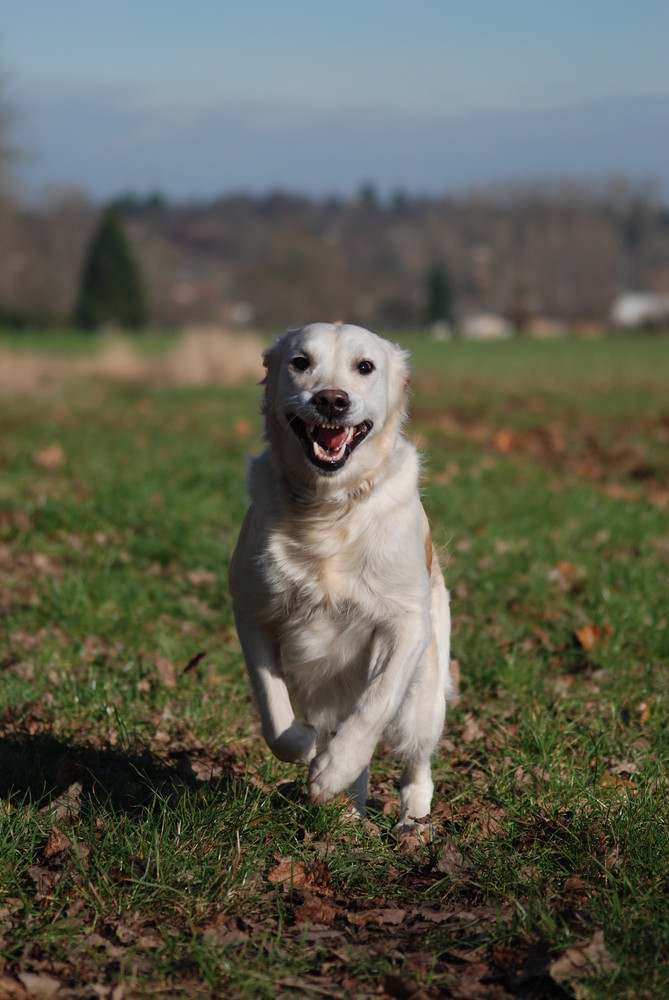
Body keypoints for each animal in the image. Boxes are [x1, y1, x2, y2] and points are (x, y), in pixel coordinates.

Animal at [227, 322, 452, 828]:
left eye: (364, 366)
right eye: (300, 362)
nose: (331, 399)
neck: (328, 507)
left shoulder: (406, 622)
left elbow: (376, 703)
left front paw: (332, 771)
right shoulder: (252, 612)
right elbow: (273, 709)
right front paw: (304, 746)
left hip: (424, 694)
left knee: (417, 755)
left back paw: (412, 814)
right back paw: (349, 809)